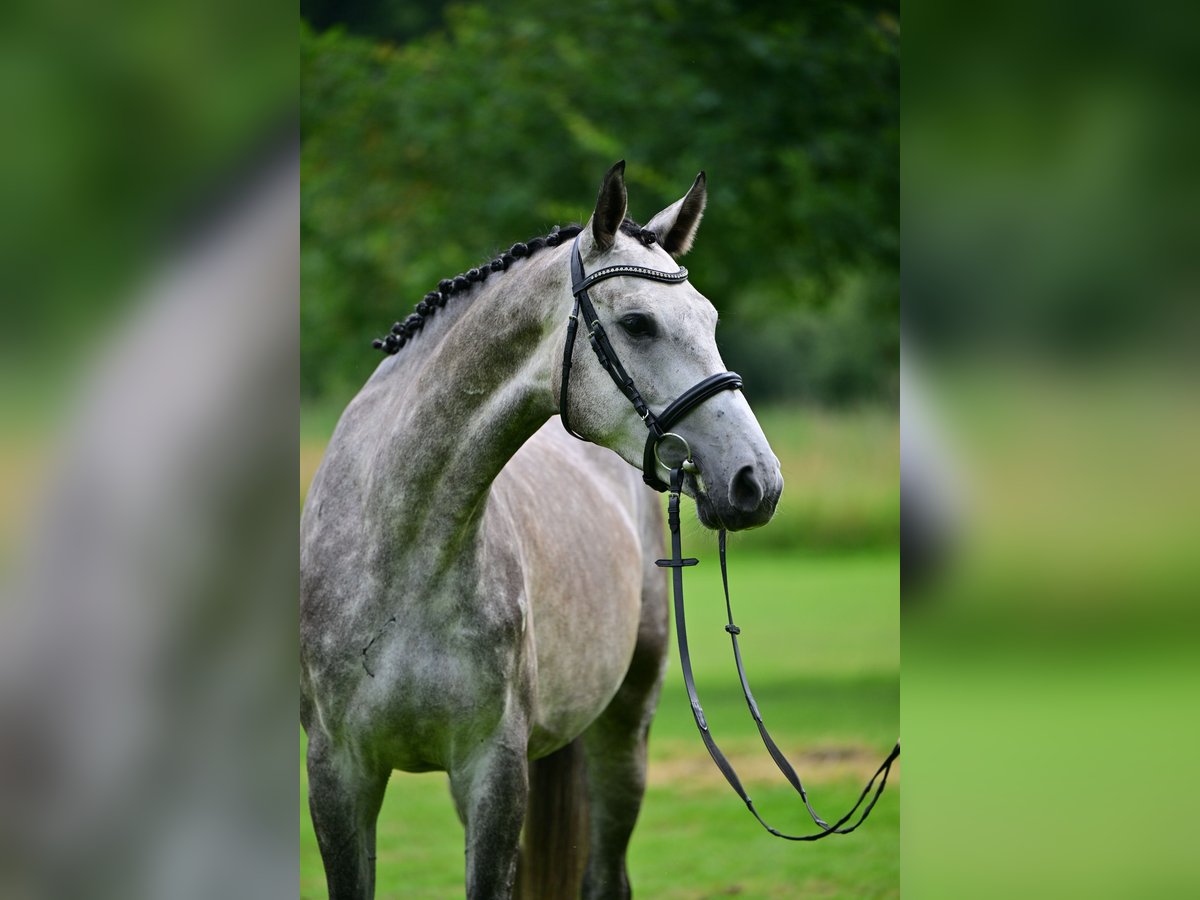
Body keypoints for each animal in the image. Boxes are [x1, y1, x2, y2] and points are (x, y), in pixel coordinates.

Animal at [302, 164, 777, 900]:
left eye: (711, 320)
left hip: (623, 734)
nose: (757, 480)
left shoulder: (494, 773)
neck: (401, 556)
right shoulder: (338, 776)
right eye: (637, 323)